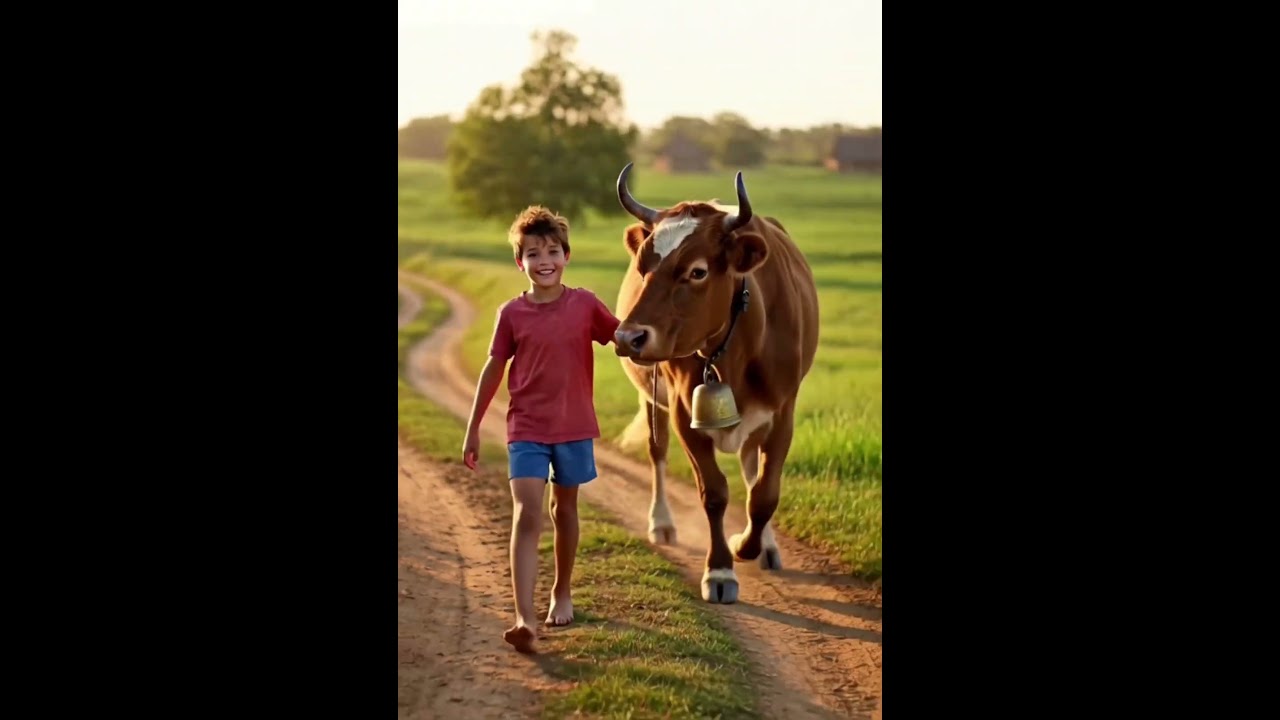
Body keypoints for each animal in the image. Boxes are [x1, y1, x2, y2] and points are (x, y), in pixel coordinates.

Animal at [611, 163, 819, 604]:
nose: (628, 337)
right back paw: (662, 523)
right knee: (657, 452)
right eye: (643, 266)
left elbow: (764, 494)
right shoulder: (683, 412)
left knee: (752, 472)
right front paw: (721, 570)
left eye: (697, 271)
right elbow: (714, 492)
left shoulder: (782, 412)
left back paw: (766, 546)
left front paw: (748, 545)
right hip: (652, 399)